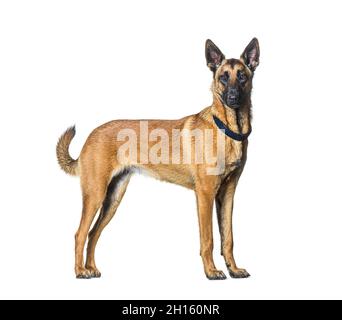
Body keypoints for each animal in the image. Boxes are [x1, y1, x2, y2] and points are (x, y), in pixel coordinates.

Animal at [56, 38, 260, 280]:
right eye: (223, 77)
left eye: (242, 76)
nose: (233, 98)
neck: (226, 129)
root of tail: (91, 134)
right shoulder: (205, 194)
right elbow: (208, 239)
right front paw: (211, 271)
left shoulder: (228, 194)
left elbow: (228, 238)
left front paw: (233, 269)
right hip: (95, 194)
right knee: (80, 233)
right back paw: (80, 271)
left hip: (112, 199)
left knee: (93, 233)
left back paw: (91, 268)